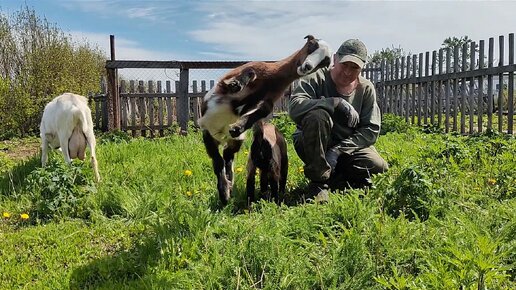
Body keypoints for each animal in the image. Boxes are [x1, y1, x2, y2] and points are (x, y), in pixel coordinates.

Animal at [198, 34, 330, 204]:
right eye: (311, 45)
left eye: (325, 62)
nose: (307, 66)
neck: (271, 79)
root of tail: (220, 136)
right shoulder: (241, 72)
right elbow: (248, 73)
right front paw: (236, 84)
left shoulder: (270, 98)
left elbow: (263, 110)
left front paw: (237, 127)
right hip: (207, 133)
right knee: (217, 160)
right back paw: (224, 191)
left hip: (234, 141)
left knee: (227, 154)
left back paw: (228, 186)